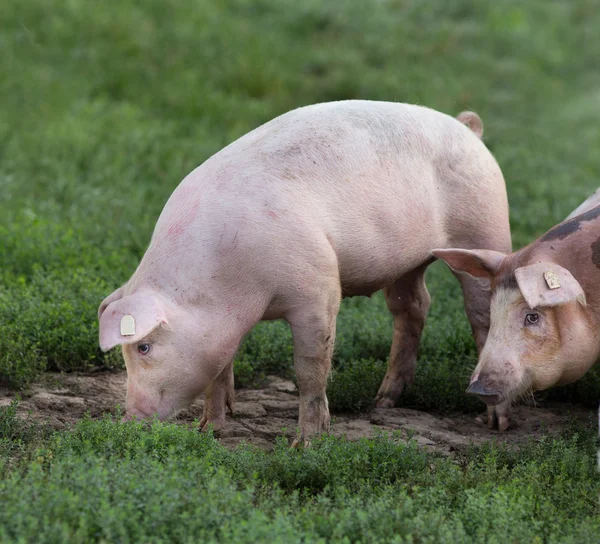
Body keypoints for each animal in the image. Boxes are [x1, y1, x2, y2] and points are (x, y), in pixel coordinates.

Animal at [98, 100, 510, 444]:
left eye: (144, 346)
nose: (130, 417)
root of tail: (467, 129)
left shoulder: (318, 287)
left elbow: (310, 368)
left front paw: (305, 444)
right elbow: (218, 370)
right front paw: (209, 430)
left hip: (483, 228)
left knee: (483, 315)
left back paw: (494, 422)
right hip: (408, 263)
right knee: (414, 306)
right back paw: (383, 402)